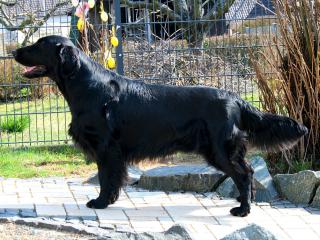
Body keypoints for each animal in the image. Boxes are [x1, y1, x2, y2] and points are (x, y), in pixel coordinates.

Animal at [13, 36, 308, 218]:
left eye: (39, 44)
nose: (13, 51)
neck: (87, 85)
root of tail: (235, 97)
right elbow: (111, 179)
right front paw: (108, 201)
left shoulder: (106, 147)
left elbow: (107, 179)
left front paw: (101, 202)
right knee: (246, 172)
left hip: (220, 149)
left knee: (244, 174)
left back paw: (243, 209)